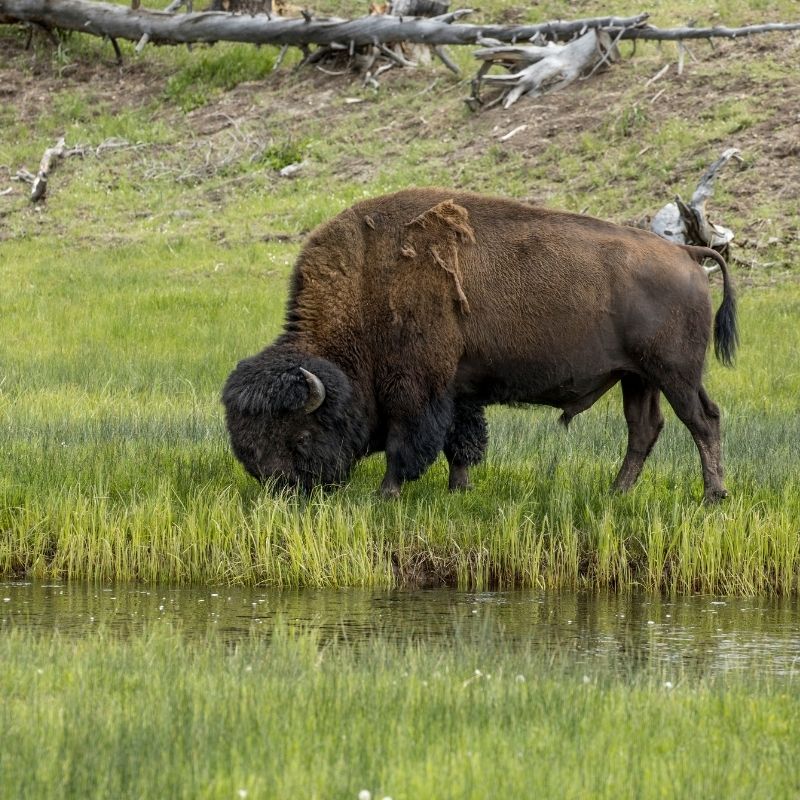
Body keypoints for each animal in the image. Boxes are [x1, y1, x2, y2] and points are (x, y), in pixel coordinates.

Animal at [225, 188, 736, 500]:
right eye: (246, 443)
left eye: (300, 435)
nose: (282, 490)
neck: (369, 284)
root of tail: (685, 252)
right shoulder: (459, 389)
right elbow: (461, 442)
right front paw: (460, 489)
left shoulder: (416, 389)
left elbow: (404, 444)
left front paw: (386, 494)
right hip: (637, 377)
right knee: (644, 429)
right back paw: (617, 492)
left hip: (675, 374)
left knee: (703, 421)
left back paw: (712, 496)